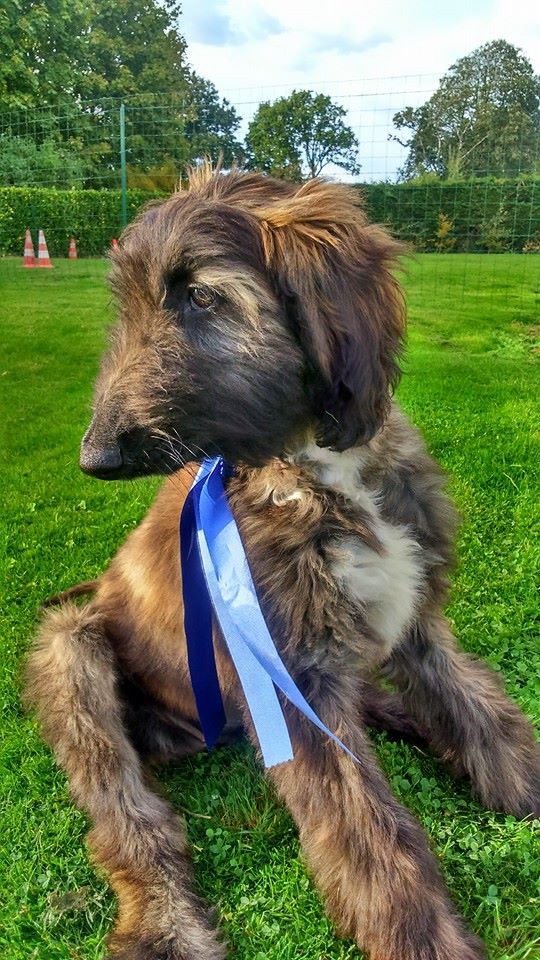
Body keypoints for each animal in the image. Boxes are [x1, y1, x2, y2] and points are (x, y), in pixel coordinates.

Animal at [26, 165, 539, 960]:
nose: (95, 457)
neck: (316, 471)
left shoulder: (412, 625)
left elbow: (485, 711)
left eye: (202, 297)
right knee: (129, 816)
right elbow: (372, 838)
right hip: (71, 648)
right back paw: (166, 923)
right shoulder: (290, 677)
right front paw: (430, 941)